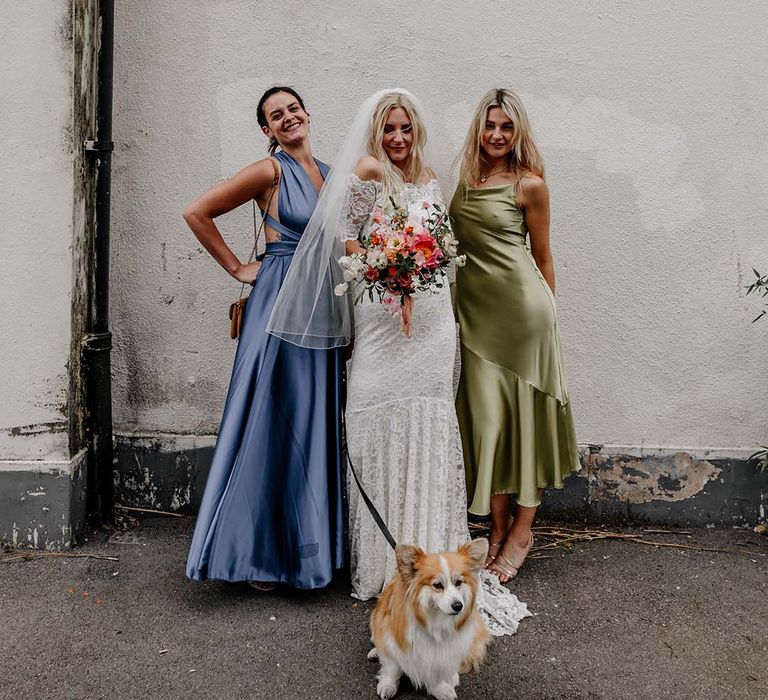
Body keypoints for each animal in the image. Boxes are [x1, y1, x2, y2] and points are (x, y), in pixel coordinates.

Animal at [368, 540, 488, 696]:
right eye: (437, 585)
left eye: (459, 582)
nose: (458, 606)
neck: (435, 622)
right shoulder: (391, 639)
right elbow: (391, 668)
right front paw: (388, 686)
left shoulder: (441, 655)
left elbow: (437, 672)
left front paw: (441, 689)